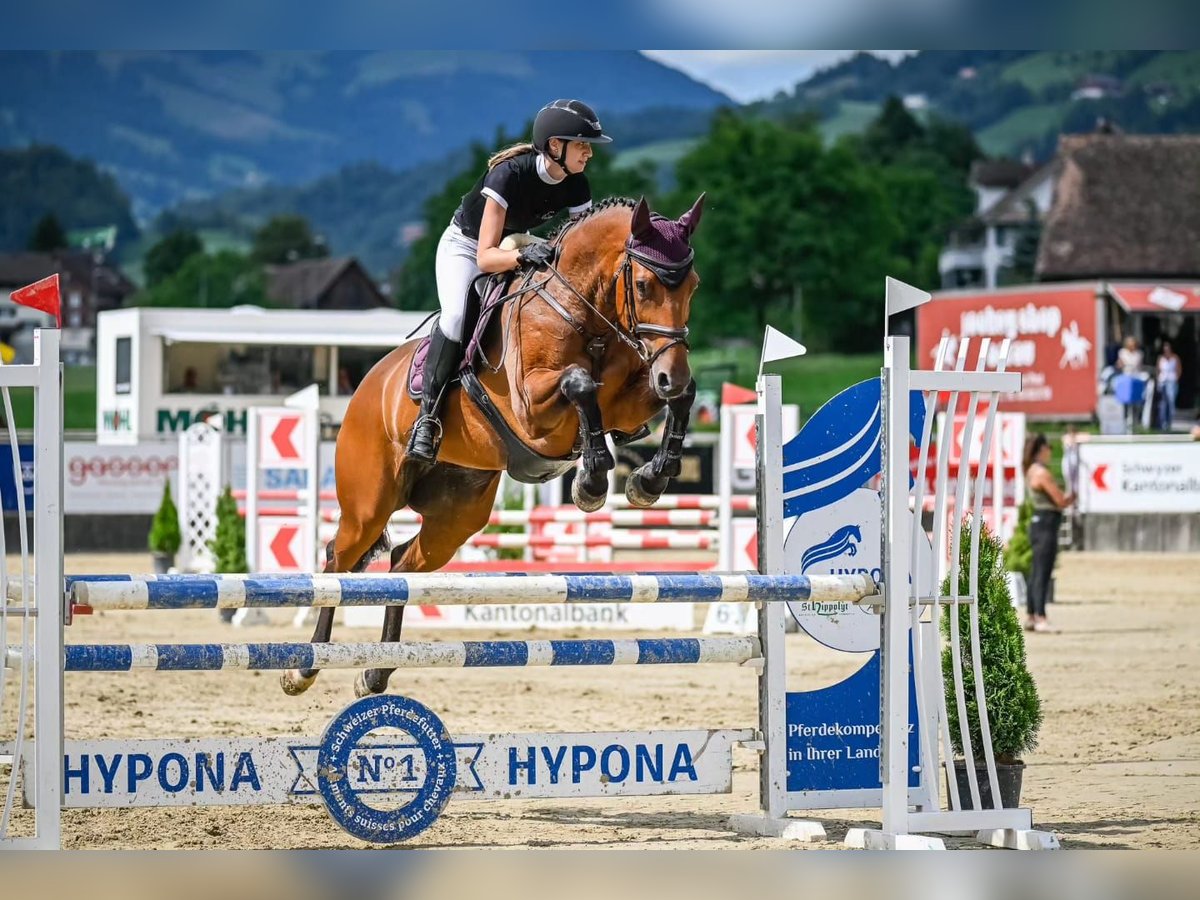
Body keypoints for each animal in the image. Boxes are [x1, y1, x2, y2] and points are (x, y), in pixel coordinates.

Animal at [281, 194, 706, 698]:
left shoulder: (627, 400)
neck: (582, 312)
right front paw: (592, 481)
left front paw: (649, 478)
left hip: (456, 517)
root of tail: (369, 385)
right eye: (642, 285)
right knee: (338, 561)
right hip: (368, 503)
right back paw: (302, 669)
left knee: (404, 563)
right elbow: (579, 384)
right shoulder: (533, 411)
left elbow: (678, 398)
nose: (669, 373)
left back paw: (375, 672)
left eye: (693, 287)